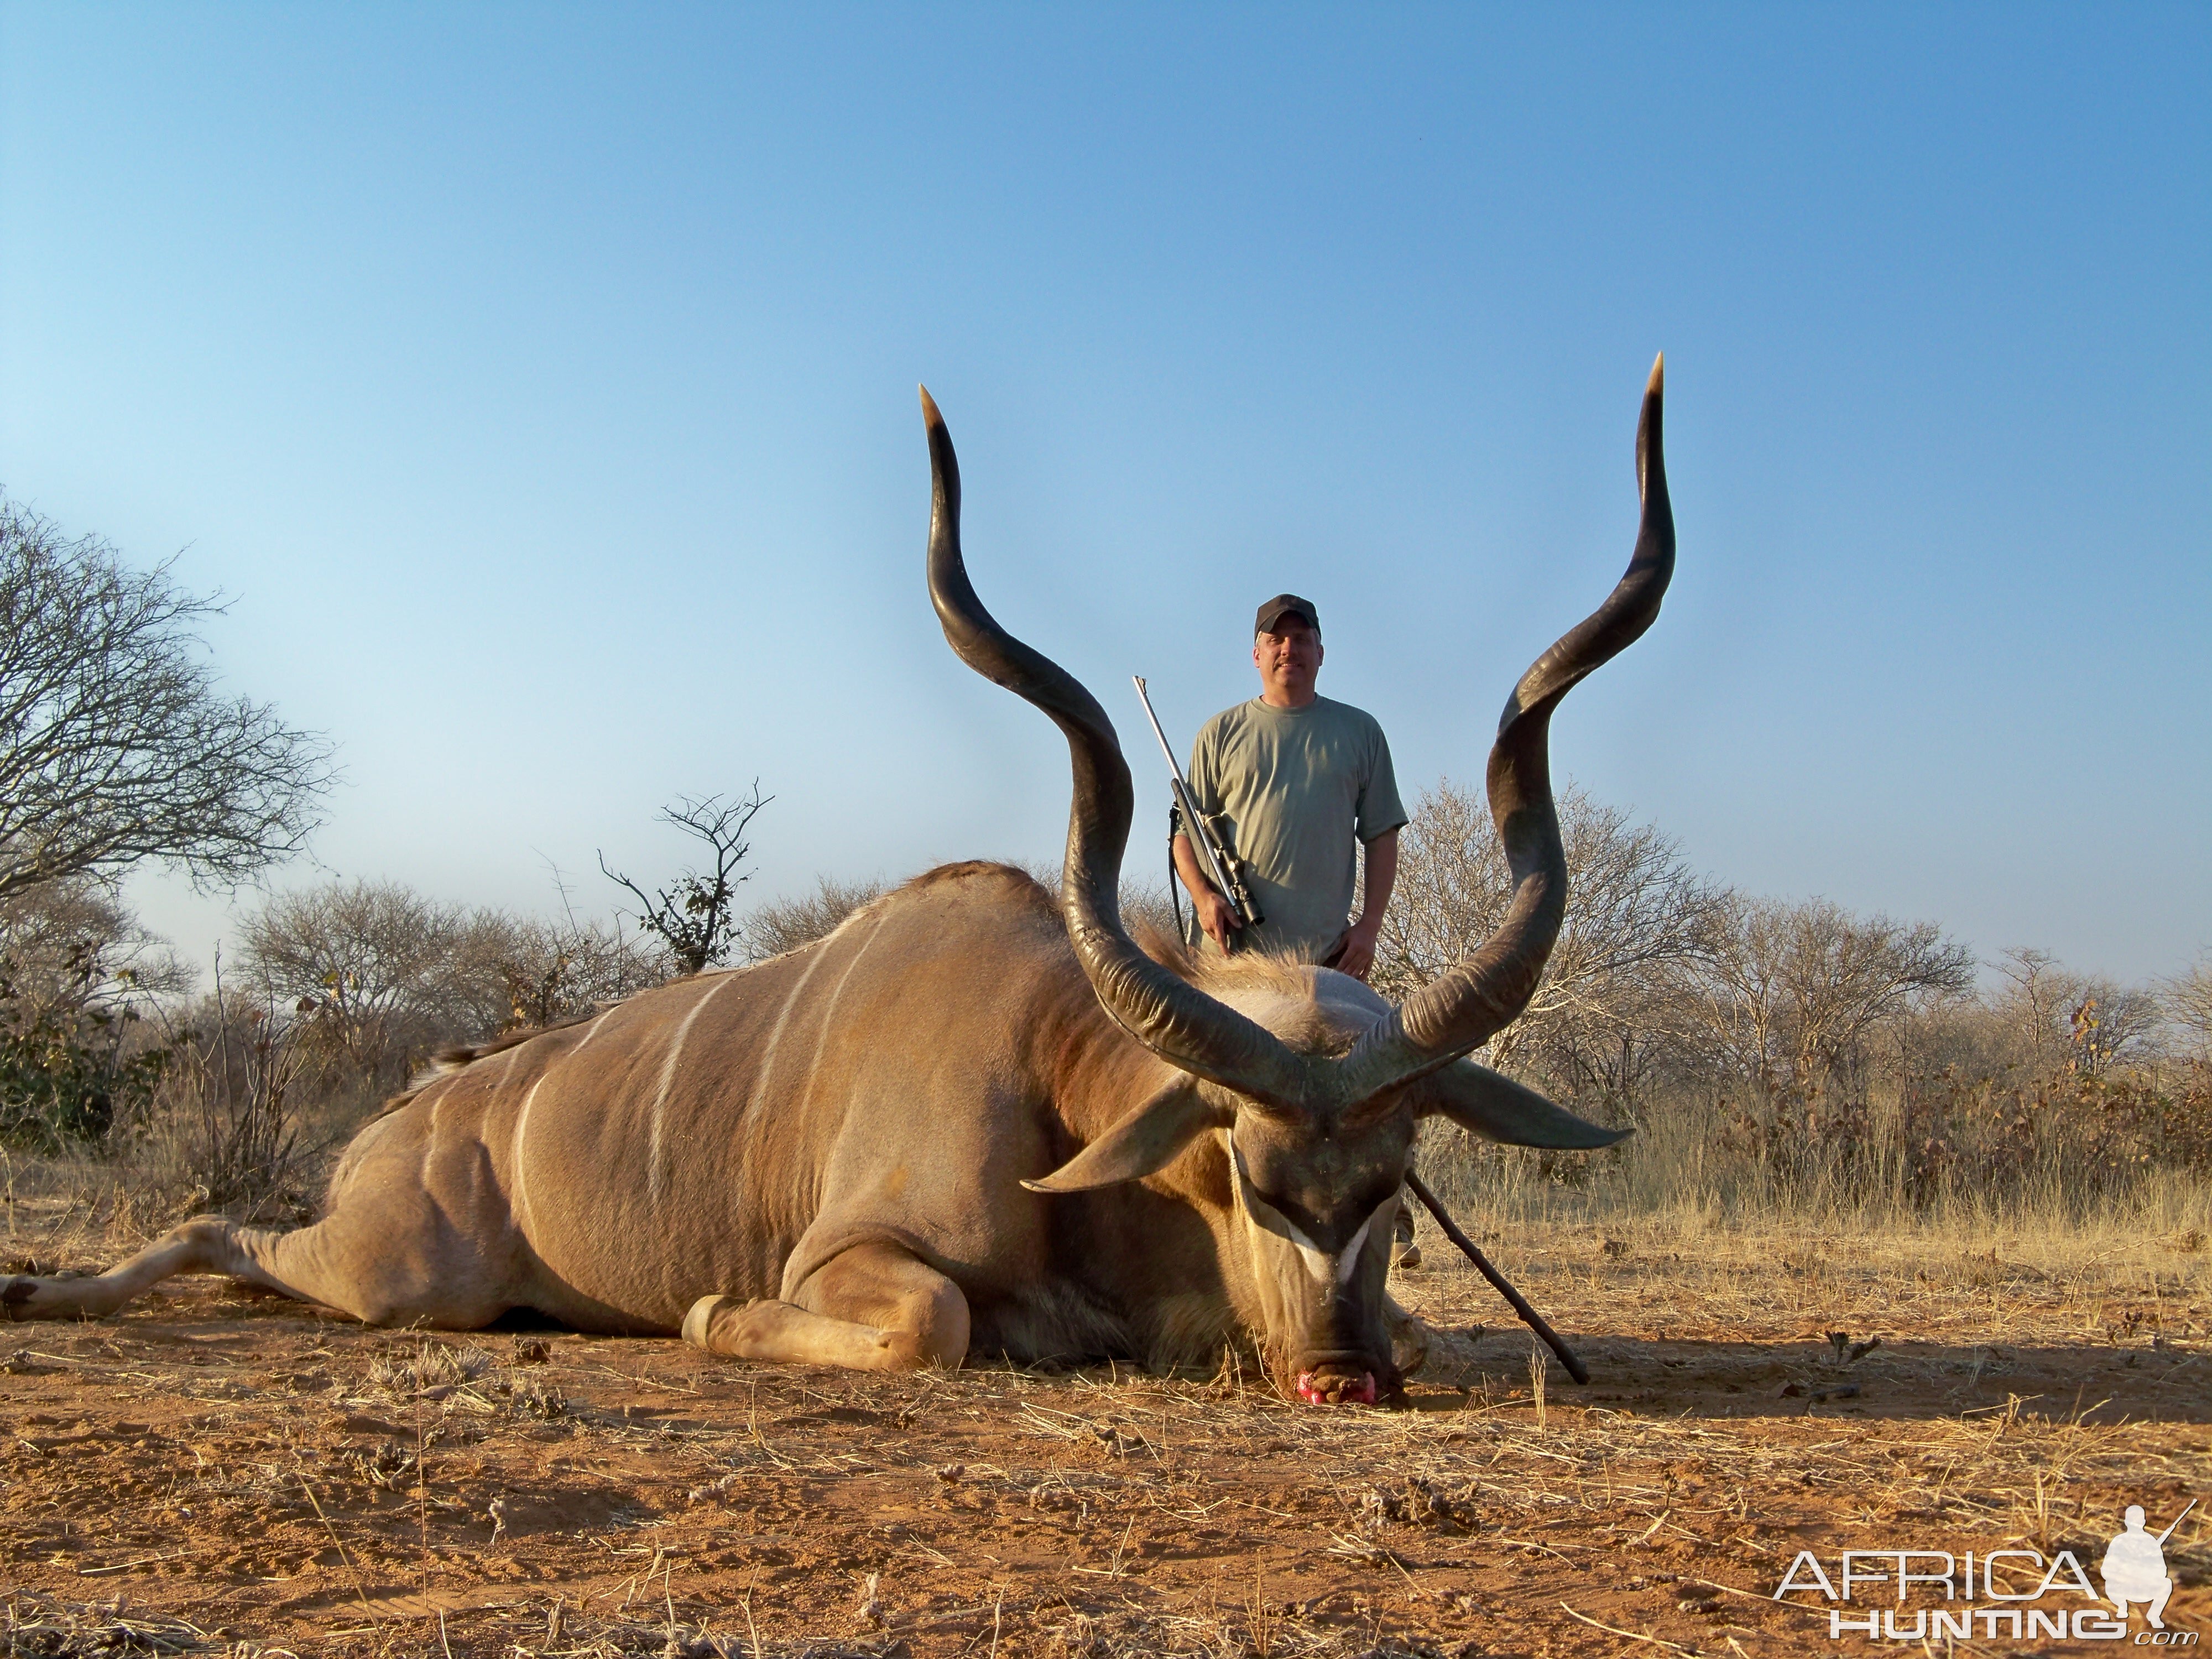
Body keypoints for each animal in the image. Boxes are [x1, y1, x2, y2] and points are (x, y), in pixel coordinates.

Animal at [4, 361, 1672, 1407]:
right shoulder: (860, 1258)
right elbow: (925, 1319)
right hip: (400, 1271)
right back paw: (44, 1296)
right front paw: (703, 1311)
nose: (1342, 1373)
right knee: (228, 1232)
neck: (1058, 1072)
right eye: (1250, 1175)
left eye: (1394, 1180)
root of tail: (413, 1111)